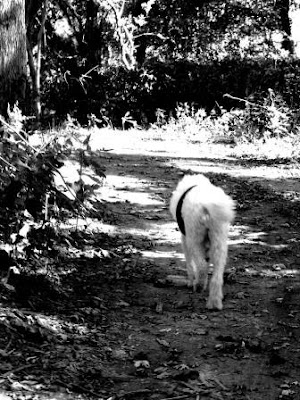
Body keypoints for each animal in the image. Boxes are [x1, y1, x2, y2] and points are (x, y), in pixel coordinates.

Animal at [170, 174, 236, 310]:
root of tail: (206, 205)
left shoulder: (184, 238)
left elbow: (189, 264)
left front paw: (190, 282)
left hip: (194, 238)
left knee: (201, 266)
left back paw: (198, 285)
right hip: (219, 241)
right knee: (217, 276)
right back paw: (215, 303)